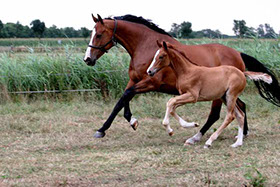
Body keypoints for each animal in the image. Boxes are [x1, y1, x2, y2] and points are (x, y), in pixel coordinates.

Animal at [84, 14, 280, 143]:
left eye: (99, 34)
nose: (87, 59)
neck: (145, 46)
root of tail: (237, 54)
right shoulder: (134, 80)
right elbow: (121, 101)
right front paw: (123, 123)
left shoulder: (151, 82)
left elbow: (126, 96)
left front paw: (108, 128)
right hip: (226, 93)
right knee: (241, 106)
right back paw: (242, 134)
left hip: (218, 95)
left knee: (215, 114)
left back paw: (197, 137)